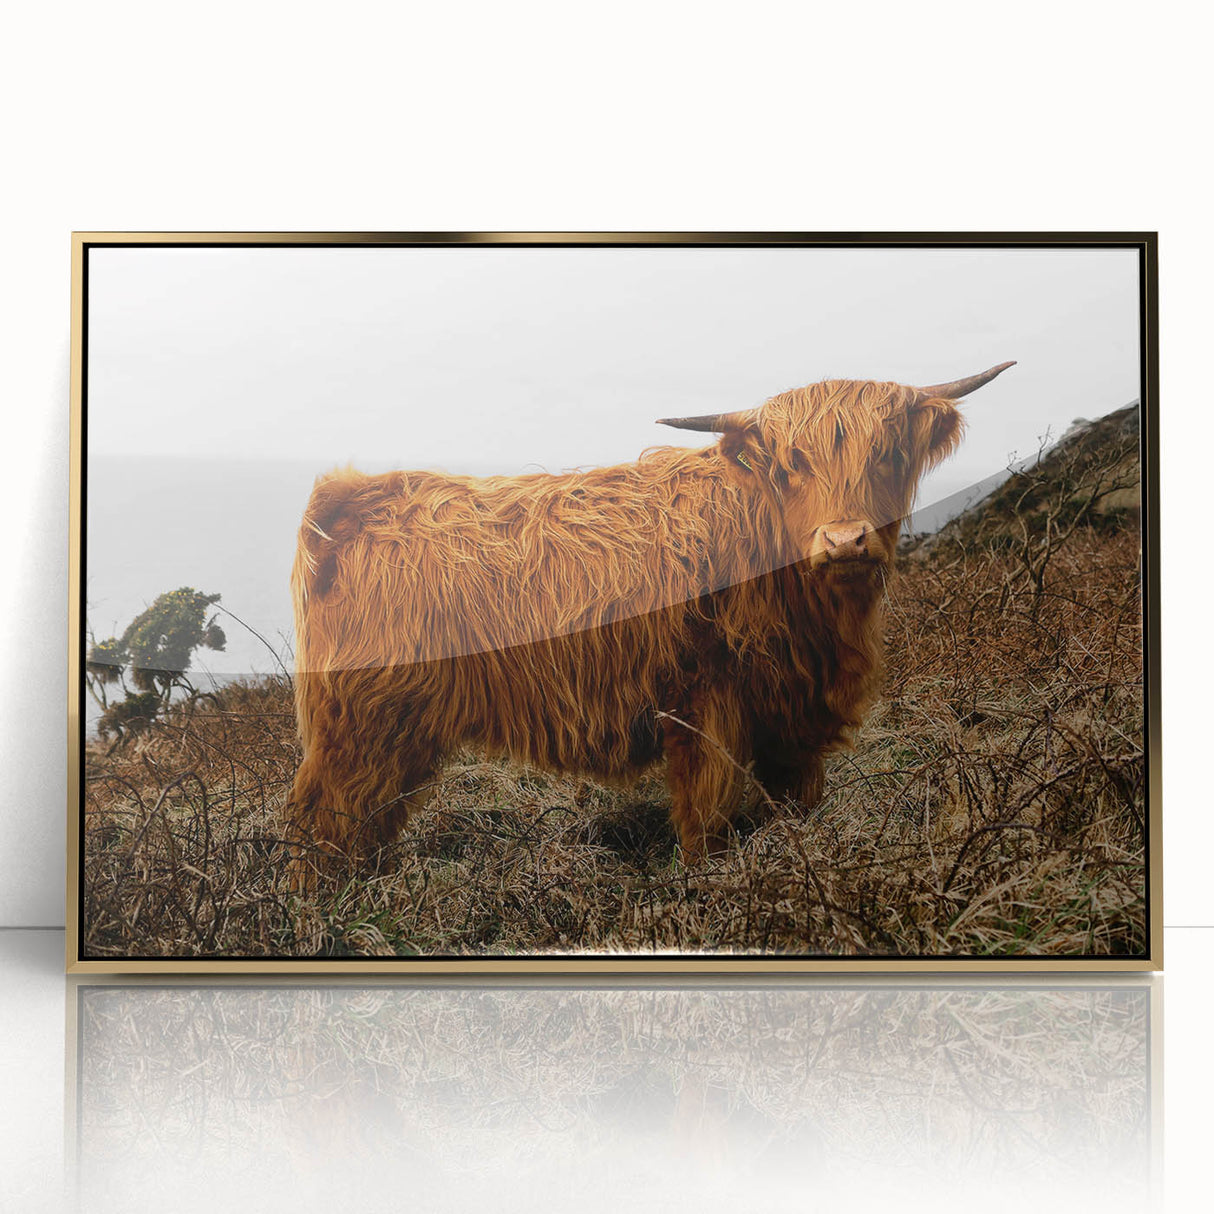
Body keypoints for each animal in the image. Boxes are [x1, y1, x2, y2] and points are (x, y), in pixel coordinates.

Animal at [283, 363, 1014, 882]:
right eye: (791, 464)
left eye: (888, 454)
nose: (844, 539)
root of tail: (350, 497)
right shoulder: (706, 705)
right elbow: (708, 817)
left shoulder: (792, 717)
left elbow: (794, 806)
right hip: (364, 725)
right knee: (326, 820)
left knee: (367, 824)